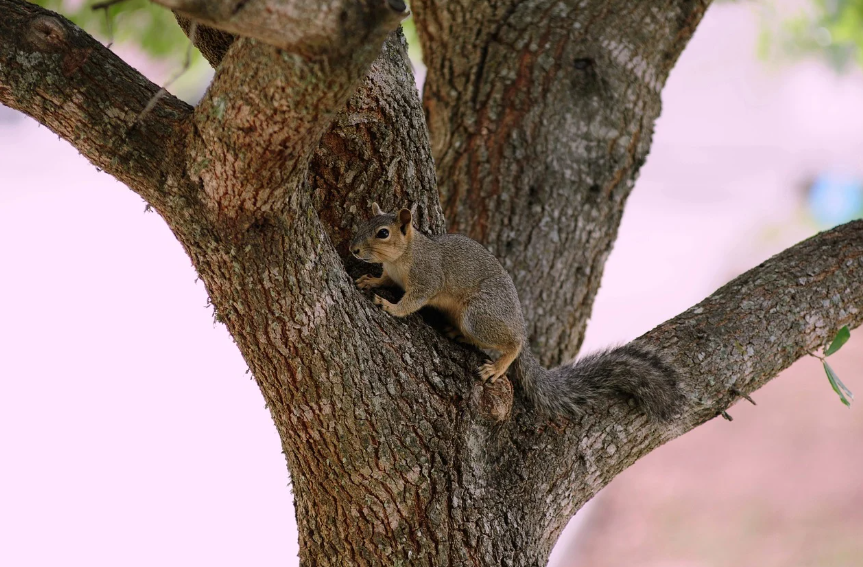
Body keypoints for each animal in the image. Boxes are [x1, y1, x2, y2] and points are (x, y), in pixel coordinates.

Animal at [350, 203, 682, 421]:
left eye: (382, 233)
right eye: (362, 224)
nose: (353, 249)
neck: (403, 255)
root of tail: (519, 321)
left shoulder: (427, 278)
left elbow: (412, 302)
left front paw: (390, 306)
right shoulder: (393, 275)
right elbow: (384, 280)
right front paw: (370, 280)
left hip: (480, 314)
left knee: (513, 343)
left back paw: (498, 365)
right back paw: (457, 333)